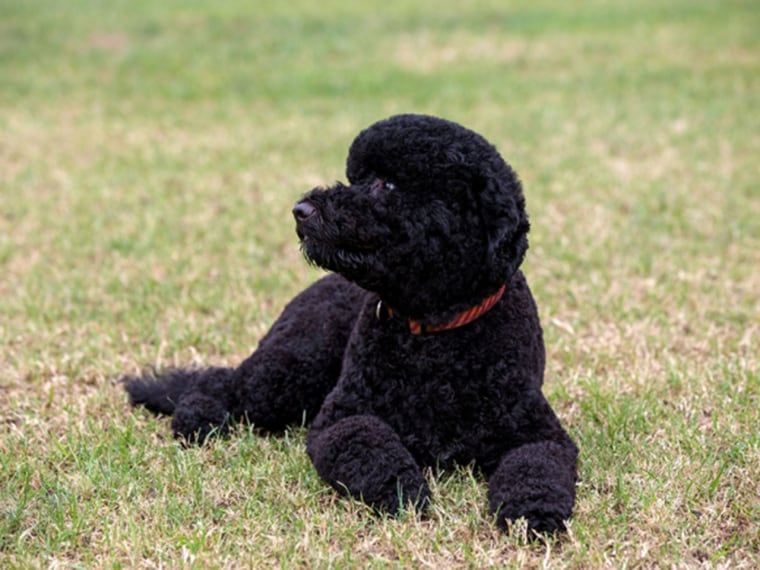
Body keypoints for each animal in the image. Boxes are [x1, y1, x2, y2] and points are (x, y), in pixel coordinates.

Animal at [123, 113, 576, 532]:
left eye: (387, 185)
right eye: (356, 177)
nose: (301, 210)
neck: (433, 333)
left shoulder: (538, 433)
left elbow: (535, 468)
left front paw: (534, 513)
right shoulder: (340, 417)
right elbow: (368, 444)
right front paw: (403, 489)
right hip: (291, 370)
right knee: (221, 384)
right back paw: (197, 420)